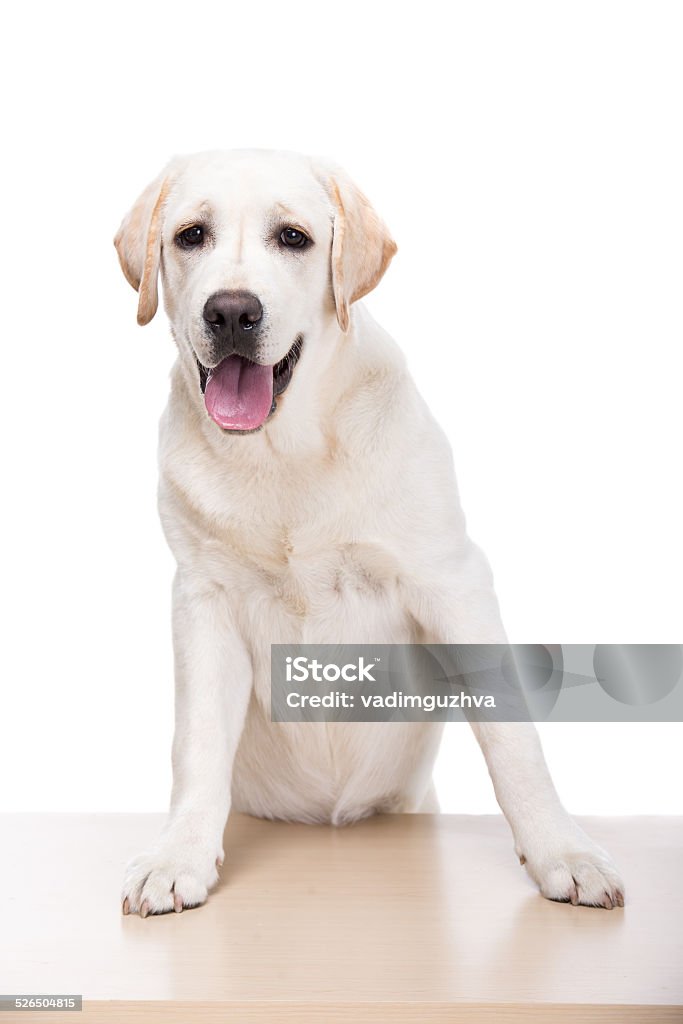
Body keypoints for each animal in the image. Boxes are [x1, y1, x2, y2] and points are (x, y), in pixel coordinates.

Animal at [113, 148, 626, 917]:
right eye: (191, 235)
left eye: (293, 238)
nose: (231, 311)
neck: (285, 451)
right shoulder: (203, 600)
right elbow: (197, 744)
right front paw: (178, 858)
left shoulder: (452, 582)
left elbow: (512, 738)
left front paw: (563, 853)